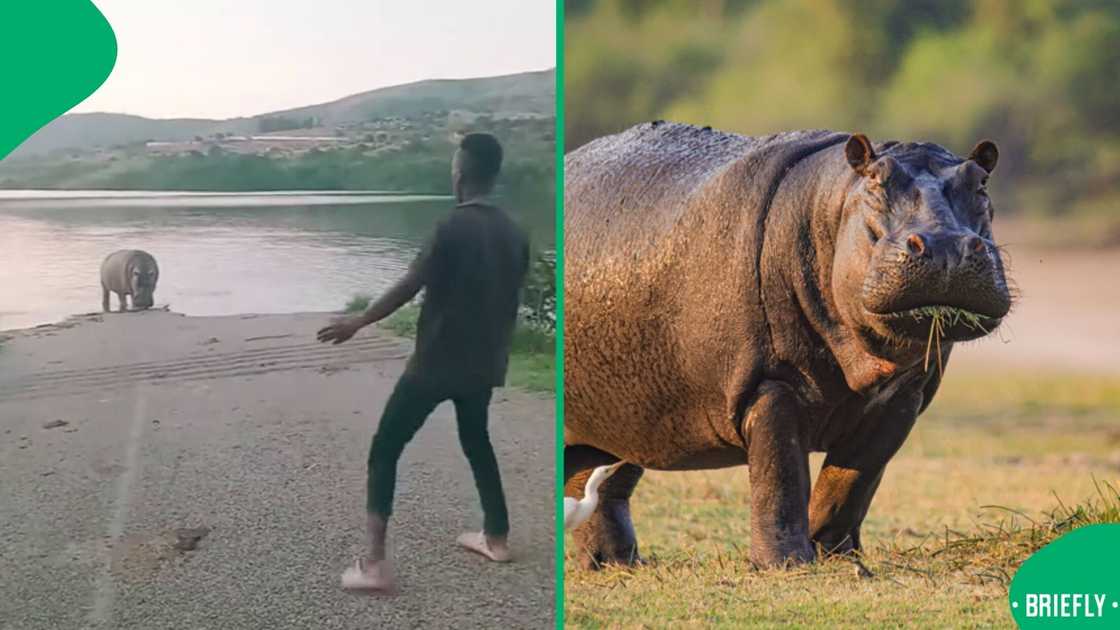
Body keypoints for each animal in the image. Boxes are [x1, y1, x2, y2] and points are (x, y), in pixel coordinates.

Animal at [563, 122, 1012, 568]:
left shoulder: (903, 397)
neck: (833, 205)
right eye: (875, 181)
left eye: (980, 183)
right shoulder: (771, 383)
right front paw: (787, 564)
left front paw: (840, 558)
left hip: (624, 419)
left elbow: (851, 482)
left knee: (603, 485)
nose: (947, 245)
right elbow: (780, 477)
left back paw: (614, 562)